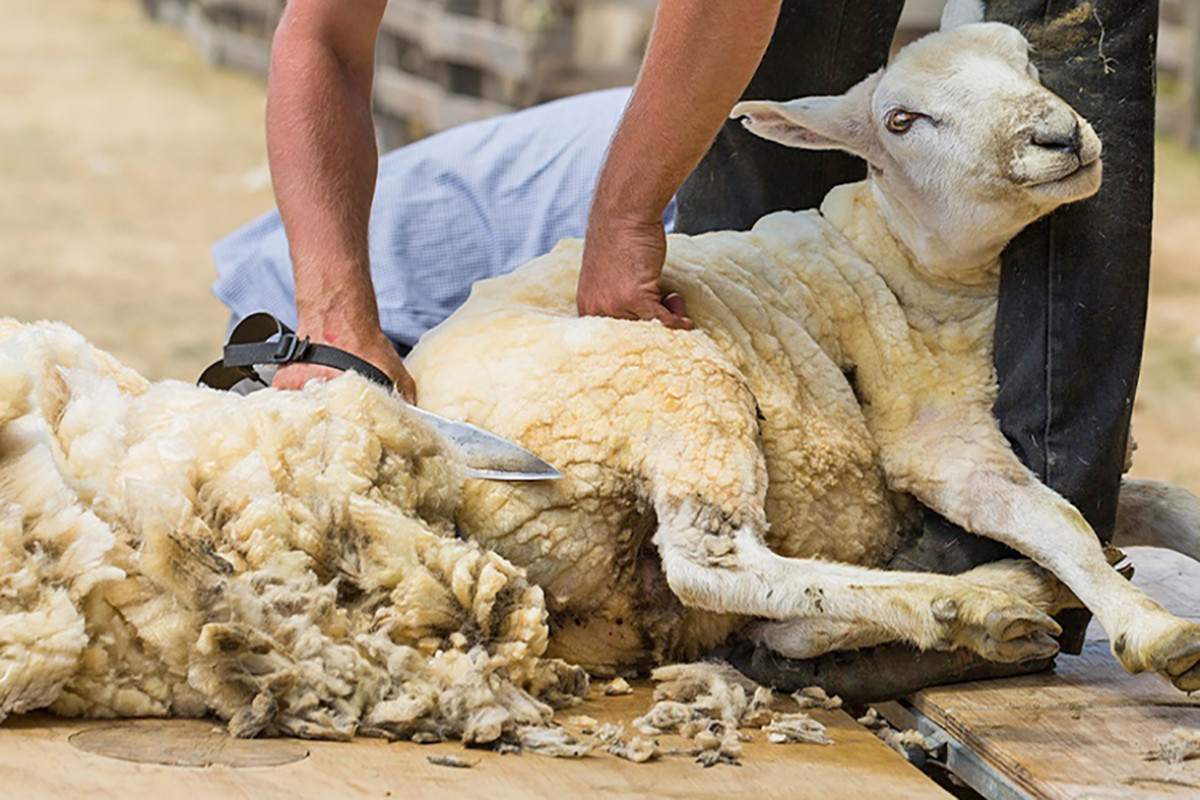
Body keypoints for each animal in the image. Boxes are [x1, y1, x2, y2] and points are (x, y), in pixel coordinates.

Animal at [403, 18, 1200, 690]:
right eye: (902, 121)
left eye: (1028, 59)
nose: (1059, 135)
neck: (908, 264)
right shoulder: (937, 442)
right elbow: (1060, 519)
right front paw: (1154, 631)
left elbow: (1162, 501)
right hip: (672, 382)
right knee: (715, 566)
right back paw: (973, 604)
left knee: (754, 621)